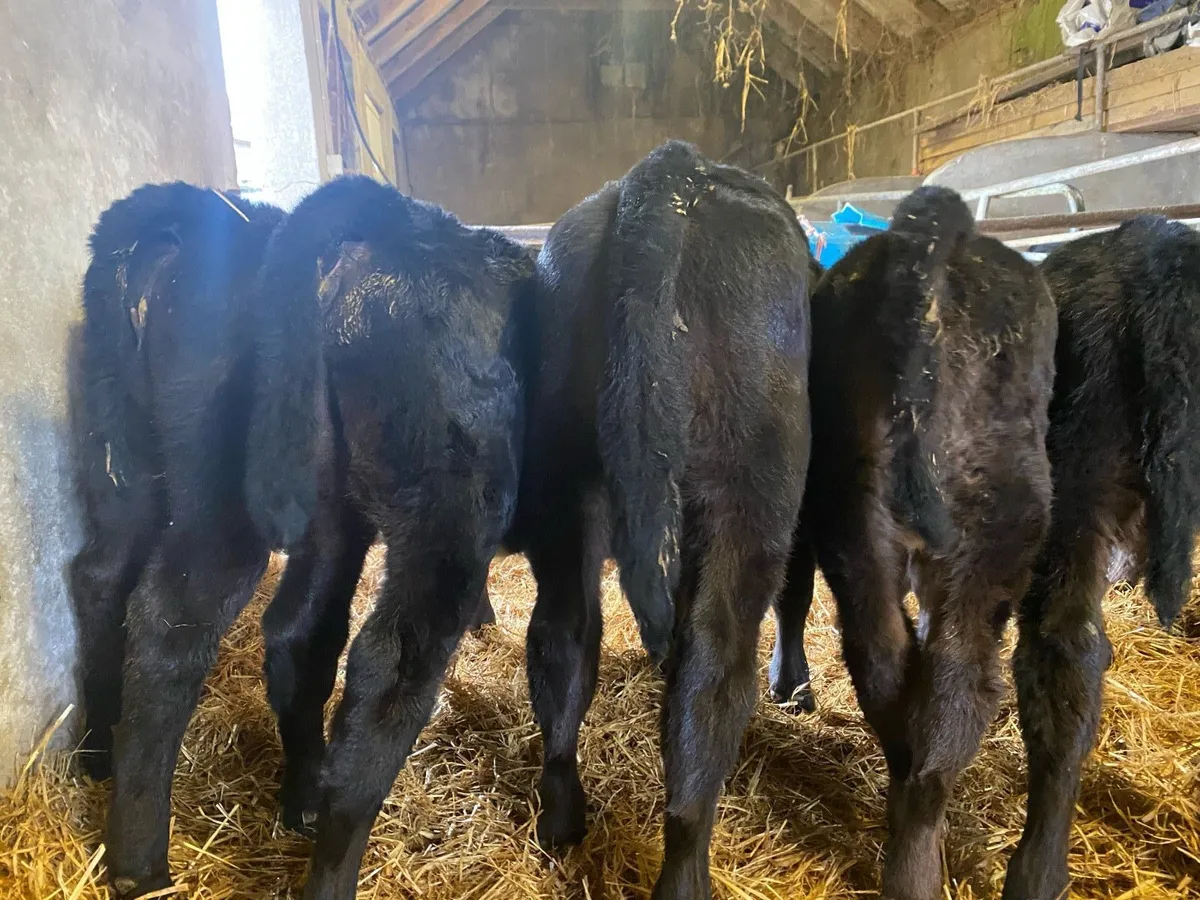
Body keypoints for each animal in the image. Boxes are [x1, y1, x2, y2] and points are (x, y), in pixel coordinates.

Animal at [67, 183, 284, 898]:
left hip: (120, 450)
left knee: (100, 574)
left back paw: (97, 752)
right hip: (217, 496)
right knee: (168, 623)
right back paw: (140, 864)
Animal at [245, 176, 535, 900]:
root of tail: (405, 222)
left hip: (325, 498)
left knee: (299, 635)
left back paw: (301, 797)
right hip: (448, 508)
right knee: (388, 670)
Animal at [510, 140, 812, 900]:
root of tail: (669, 174)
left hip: (567, 486)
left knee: (563, 637)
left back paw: (562, 820)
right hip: (751, 494)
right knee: (712, 671)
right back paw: (685, 869)